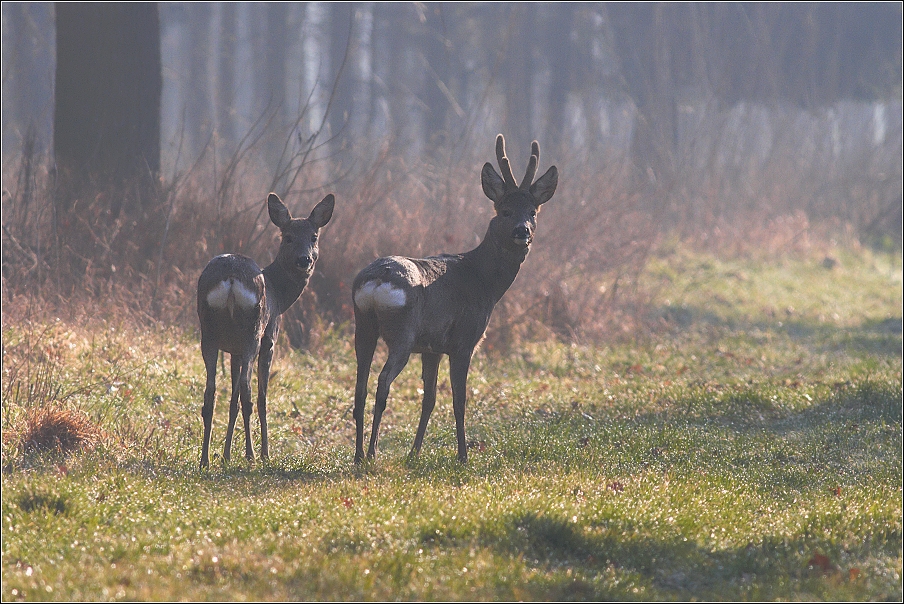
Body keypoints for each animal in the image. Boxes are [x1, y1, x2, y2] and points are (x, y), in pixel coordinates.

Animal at [198, 192, 336, 468]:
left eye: (314, 236)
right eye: (288, 236)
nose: (304, 259)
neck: (279, 295)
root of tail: (231, 280)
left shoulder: (234, 350)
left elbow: (232, 401)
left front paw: (226, 454)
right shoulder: (270, 338)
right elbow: (261, 397)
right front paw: (264, 452)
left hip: (208, 333)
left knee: (211, 393)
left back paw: (205, 459)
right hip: (253, 332)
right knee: (249, 393)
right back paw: (252, 455)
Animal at [354, 133, 556, 462]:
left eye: (533, 211)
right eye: (504, 210)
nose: (522, 231)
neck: (485, 282)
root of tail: (374, 283)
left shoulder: (432, 348)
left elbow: (430, 399)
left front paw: (414, 454)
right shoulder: (464, 341)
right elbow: (459, 401)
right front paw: (463, 456)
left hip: (363, 327)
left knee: (359, 387)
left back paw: (358, 454)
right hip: (402, 334)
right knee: (382, 382)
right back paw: (372, 453)